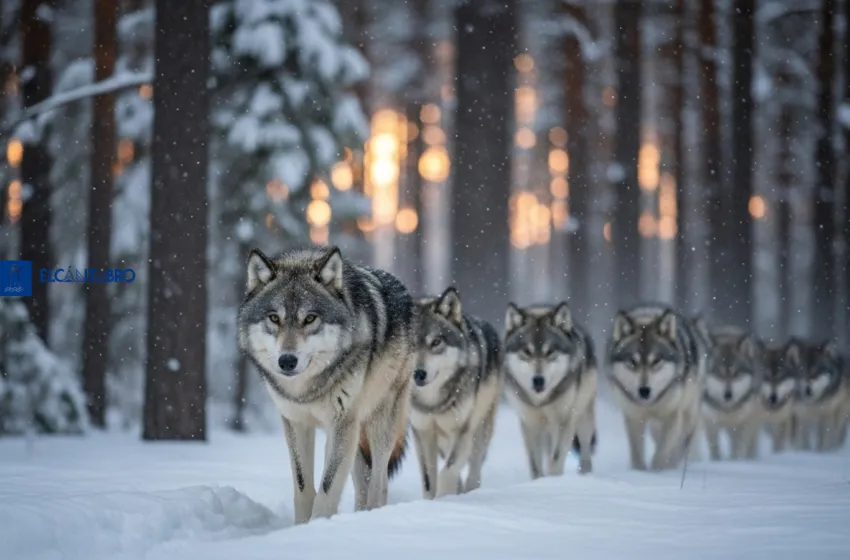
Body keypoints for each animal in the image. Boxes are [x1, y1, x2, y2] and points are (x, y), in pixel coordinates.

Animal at [237, 246, 414, 524]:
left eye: (310, 318)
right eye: (274, 318)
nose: (287, 361)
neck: (307, 391)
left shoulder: (342, 423)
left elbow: (327, 488)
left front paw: (317, 525)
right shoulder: (297, 422)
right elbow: (304, 486)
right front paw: (301, 526)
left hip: (378, 421)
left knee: (379, 480)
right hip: (354, 435)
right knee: (362, 480)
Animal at [409, 287, 502, 499]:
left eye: (436, 342)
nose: (418, 374)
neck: (433, 402)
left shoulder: (462, 431)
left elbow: (447, 472)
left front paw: (444, 500)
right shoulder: (423, 432)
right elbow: (429, 480)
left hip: (480, 430)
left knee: (474, 471)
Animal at [502, 302, 597, 478]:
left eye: (550, 351)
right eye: (527, 351)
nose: (538, 380)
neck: (541, 402)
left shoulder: (564, 421)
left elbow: (557, 457)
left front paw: (553, 480)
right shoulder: (529, 423)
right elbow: (535, 464)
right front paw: (540, 481)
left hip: (582, 419)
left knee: (585, 449)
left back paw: (584, 474)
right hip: (545, 429)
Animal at [605, 304, 709, 471]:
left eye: (656, 361)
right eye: (632, 362)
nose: (644, 390)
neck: (649, 404)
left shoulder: (672, 415)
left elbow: (663, 452)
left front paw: (657, 471)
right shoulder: (633, 417)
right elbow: (637, 453)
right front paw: (639, 472)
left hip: (689, 413)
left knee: (683, 441)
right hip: (656, 425)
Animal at [700, 326, 765, 461]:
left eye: (736, 373)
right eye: (718, 372)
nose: (728, 395)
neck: (727, 410)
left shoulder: (746, 423)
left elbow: (739, 448)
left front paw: (736, 462)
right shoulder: (709, 422)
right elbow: (715, 449)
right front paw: (717, 462)